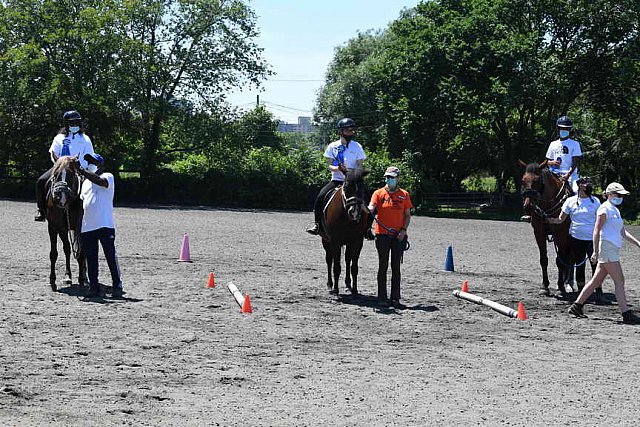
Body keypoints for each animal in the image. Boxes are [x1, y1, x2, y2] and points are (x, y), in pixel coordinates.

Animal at [45, 155, 87, 292]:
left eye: (70, 174)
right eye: (55, 174)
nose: (61, 197)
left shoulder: (80, 227)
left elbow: (81, 253)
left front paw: (82, 280)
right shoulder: (54, 227)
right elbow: (54, 253)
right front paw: (52, 280)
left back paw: (85, 277)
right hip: (64, 230)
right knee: (67, 249)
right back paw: (68, 276)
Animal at [516, 160, 572, 298]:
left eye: (537, 181)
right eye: (523, 180)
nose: (528, 206)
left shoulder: (561, 234)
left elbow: (559, 261)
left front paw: (561, 287)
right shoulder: (539, 232)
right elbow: (543, 259)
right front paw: (544, 286)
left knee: (568, 257)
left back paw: (567, 284)